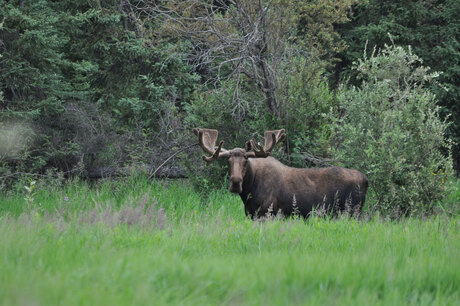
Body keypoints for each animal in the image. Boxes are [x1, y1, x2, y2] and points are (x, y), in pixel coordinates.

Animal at [192, 128, 368, 219]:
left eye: (246, 161)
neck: (249, 192)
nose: (235, 182)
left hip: (352, 210)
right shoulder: (250, 214)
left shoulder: (267, 212)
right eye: (228, 161)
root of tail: (366, 180)